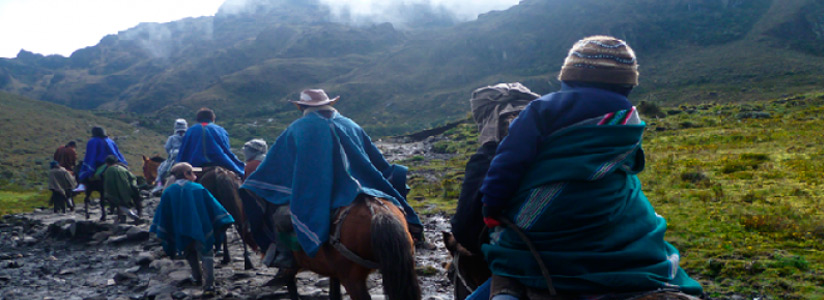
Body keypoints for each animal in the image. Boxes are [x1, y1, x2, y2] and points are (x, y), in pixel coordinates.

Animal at [245, 192, 422, 300]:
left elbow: (291, 286)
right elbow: (333, 294)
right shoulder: (334, 272)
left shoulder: (292, 266)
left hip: (352, 279)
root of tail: (378, 213)